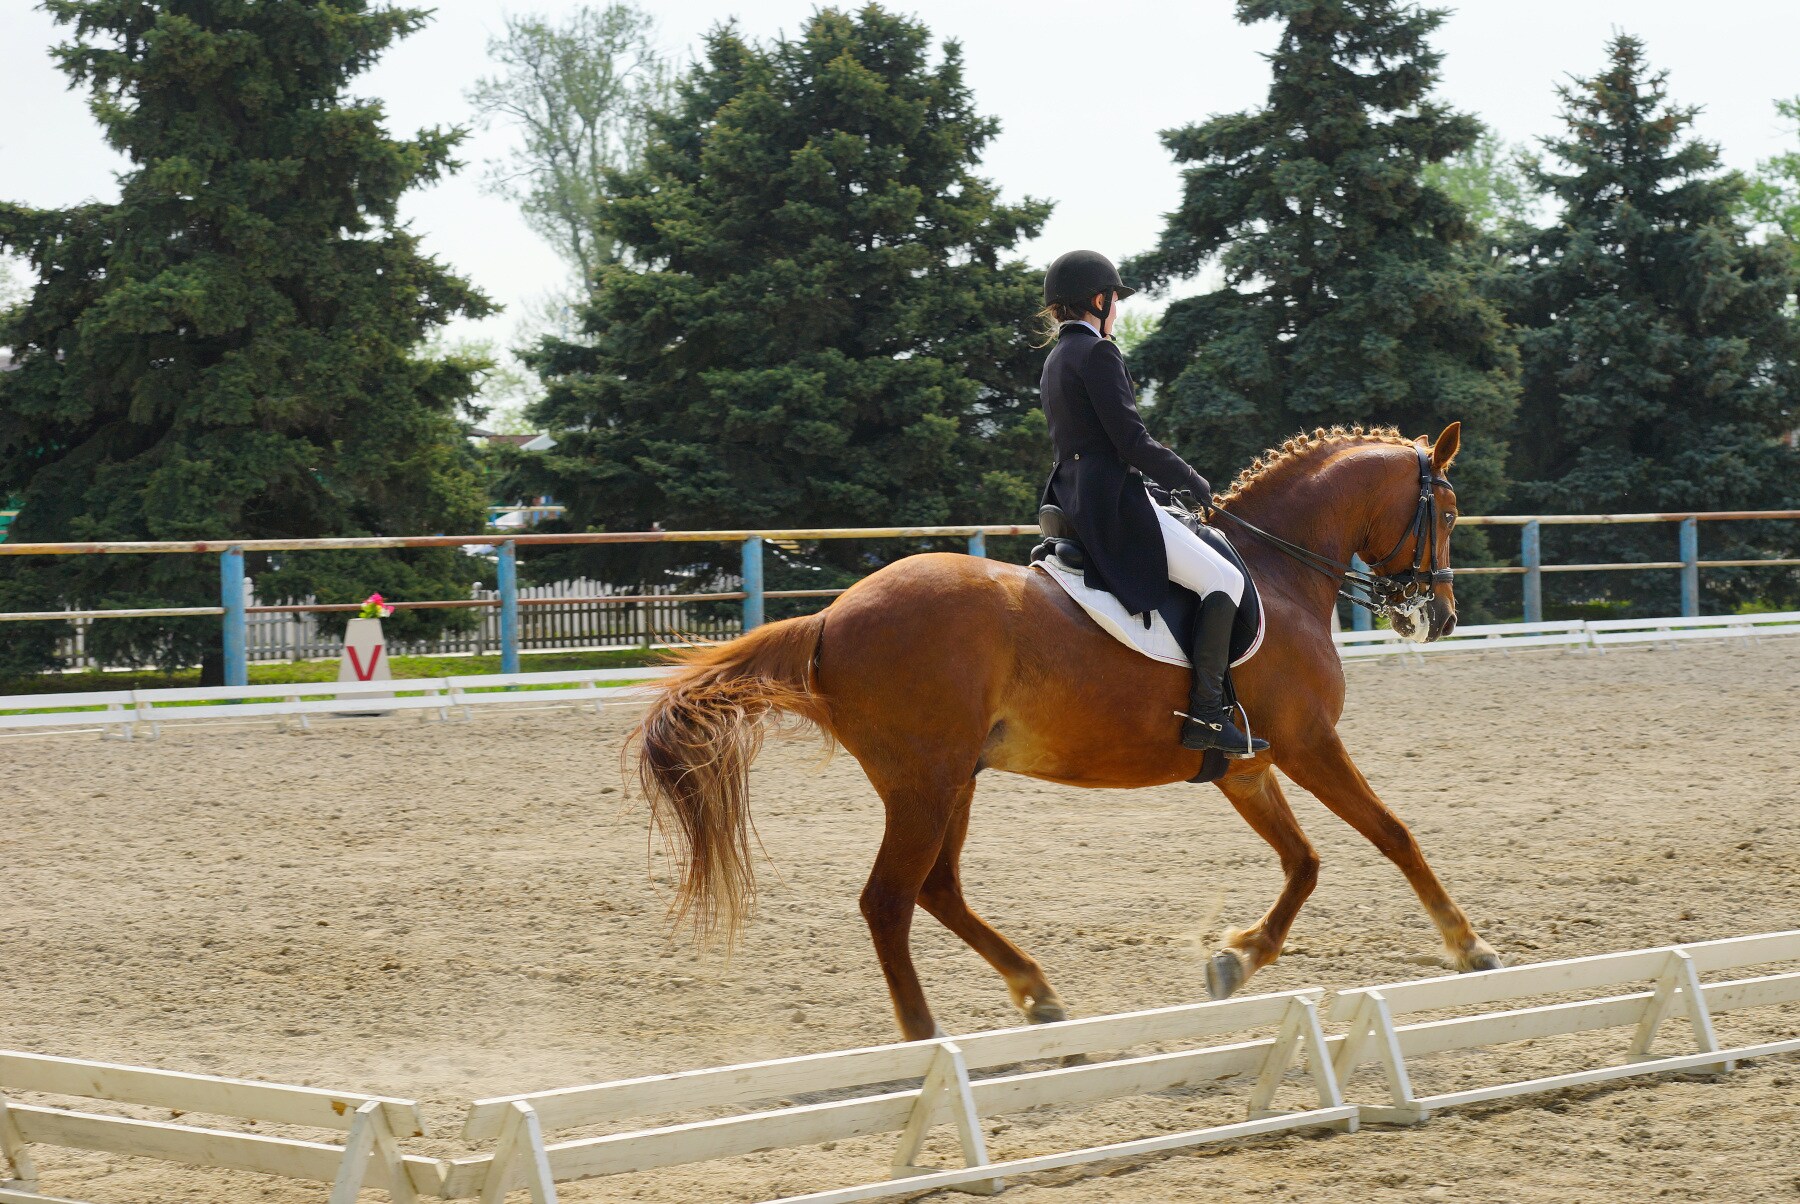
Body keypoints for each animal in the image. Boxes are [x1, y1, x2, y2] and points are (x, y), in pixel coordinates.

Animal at [631, 422, 1502, 1041]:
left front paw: (1236, 959)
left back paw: (1037, 992)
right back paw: (926, 1035)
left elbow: (1305, 861)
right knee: (889, 900)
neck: (1280, 574)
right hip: (924, 783)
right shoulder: (1310, 744)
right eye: (1450, 512)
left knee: (937, 890)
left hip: (952, 780)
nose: (1438, 619)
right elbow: (1392, 834)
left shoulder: (1247, 766)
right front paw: (1467, 946)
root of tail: (832, 617)